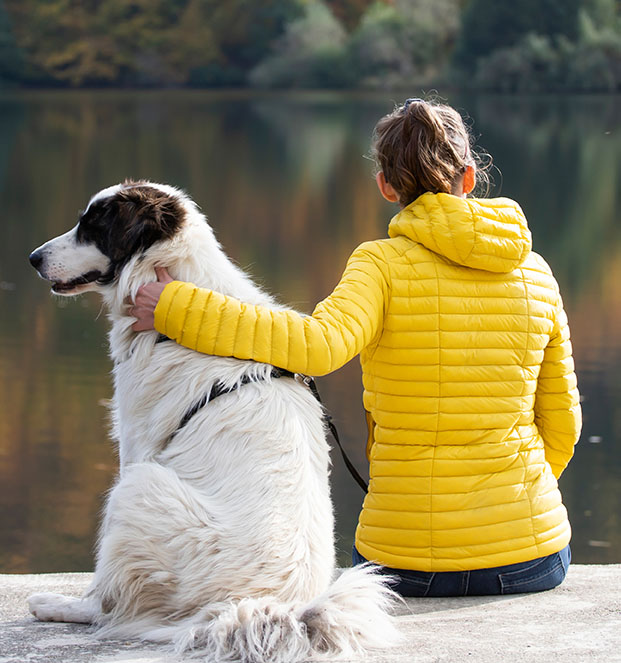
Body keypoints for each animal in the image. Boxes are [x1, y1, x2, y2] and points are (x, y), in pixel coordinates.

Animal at [27, 182, 398, 663]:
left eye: (91, 226)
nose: (32, 258)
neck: (176, 287)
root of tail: (272, 607)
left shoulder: (137, 447)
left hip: (138, 488)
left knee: (111, 603)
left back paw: (57, 605)